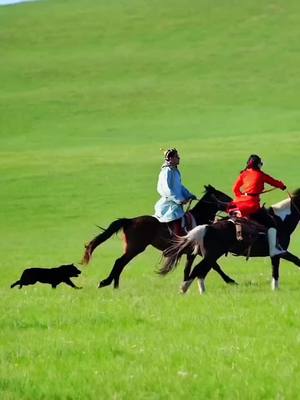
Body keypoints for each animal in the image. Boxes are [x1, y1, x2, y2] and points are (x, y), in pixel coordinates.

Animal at [82, 184, 234, 288]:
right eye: (221, 195)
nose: (232, 203)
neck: (199, 219)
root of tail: (129, 220)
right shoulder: (200, 251)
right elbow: (214, 265)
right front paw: (231, 281)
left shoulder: (191, 253)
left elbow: (188, 269)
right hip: (135, 248)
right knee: (119, 262)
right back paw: (107, 283)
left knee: (120, 263)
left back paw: (114, 285)